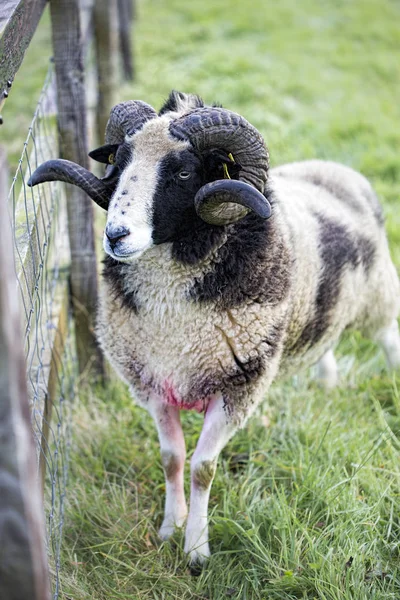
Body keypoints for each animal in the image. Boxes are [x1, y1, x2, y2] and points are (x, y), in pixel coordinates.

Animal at [28, 89, 400, 564]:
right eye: (120, 160)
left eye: (184, 171)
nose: (115, 235)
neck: (173, 322)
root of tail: (339, 169)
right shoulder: (153, 383)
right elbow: (171, 458)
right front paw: (170, 528)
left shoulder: (238, 387)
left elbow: (203, 468)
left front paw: (196, 550)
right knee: (327, 343)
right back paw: (327, 382)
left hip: (378, 295)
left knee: (389, 337)